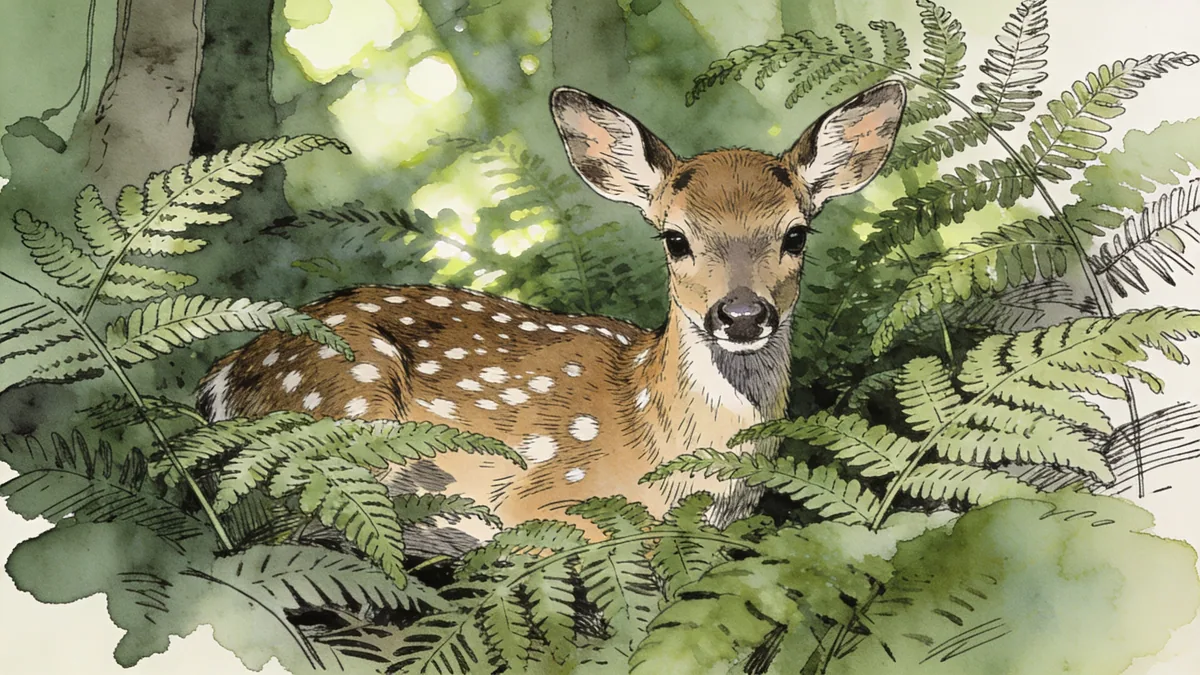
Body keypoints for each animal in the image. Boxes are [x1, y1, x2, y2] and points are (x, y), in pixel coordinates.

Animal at [197, 81, 906, 555]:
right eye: (675, 239)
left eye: (796, 234)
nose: (741, 314)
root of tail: (222, 376)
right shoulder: (543, 492)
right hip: (344, 406)